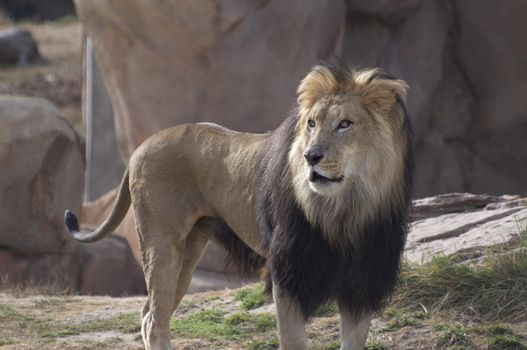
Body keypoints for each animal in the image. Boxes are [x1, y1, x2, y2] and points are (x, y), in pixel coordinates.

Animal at [65, 63, 412, 350]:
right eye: (312, 124)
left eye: (345, 124)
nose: (310, 156)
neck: (345, 207)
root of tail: (143, 144)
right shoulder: (288, 273)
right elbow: (293, 340)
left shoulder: (365, 279)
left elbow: (353, 340)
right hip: (161, 245)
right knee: (154, 321)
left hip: (188, 253)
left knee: (149, 311)